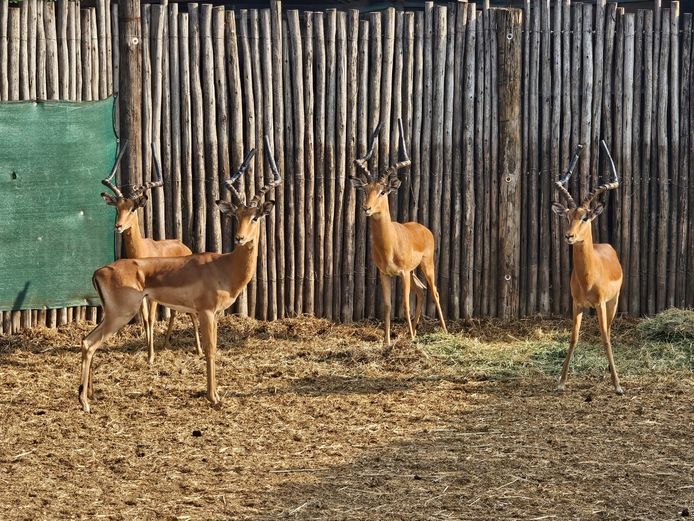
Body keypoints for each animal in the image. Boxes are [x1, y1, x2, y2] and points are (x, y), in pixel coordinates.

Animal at [100, 142, 201, 364]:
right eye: (117, 207)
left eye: (132, 208)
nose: (118, 226)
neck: (141, 252)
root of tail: (183, 245)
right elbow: (145, 319)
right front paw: (149, 352)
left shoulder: (152, 295)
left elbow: (151, 319)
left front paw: (151, 356)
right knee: (175, 311)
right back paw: (166, 344)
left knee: (190, 312)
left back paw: (198, 349)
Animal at [350, 118, 447, 346]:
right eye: (366, 189)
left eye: (383, 191)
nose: (366, 208)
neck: (389, 244)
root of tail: (423, 228)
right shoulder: (385, 274)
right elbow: (387, 306)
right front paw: (387, 341)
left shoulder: (401, 273)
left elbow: (404, 304)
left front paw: (409, 338)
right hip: (413, 272)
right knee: (422, 290)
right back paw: (416, 330)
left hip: (426, 266)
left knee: (435, 291)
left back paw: (444, 332)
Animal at [552, 140, 624, 395]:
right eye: (568, 215)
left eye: (585, 217)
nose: (569, 236)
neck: (588, 277)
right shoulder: (577, 304)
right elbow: (573, 338)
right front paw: (561, 382)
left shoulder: (601, 303)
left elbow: (605, 338)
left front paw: (618, 386)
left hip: (613, 302)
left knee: (609, 331)